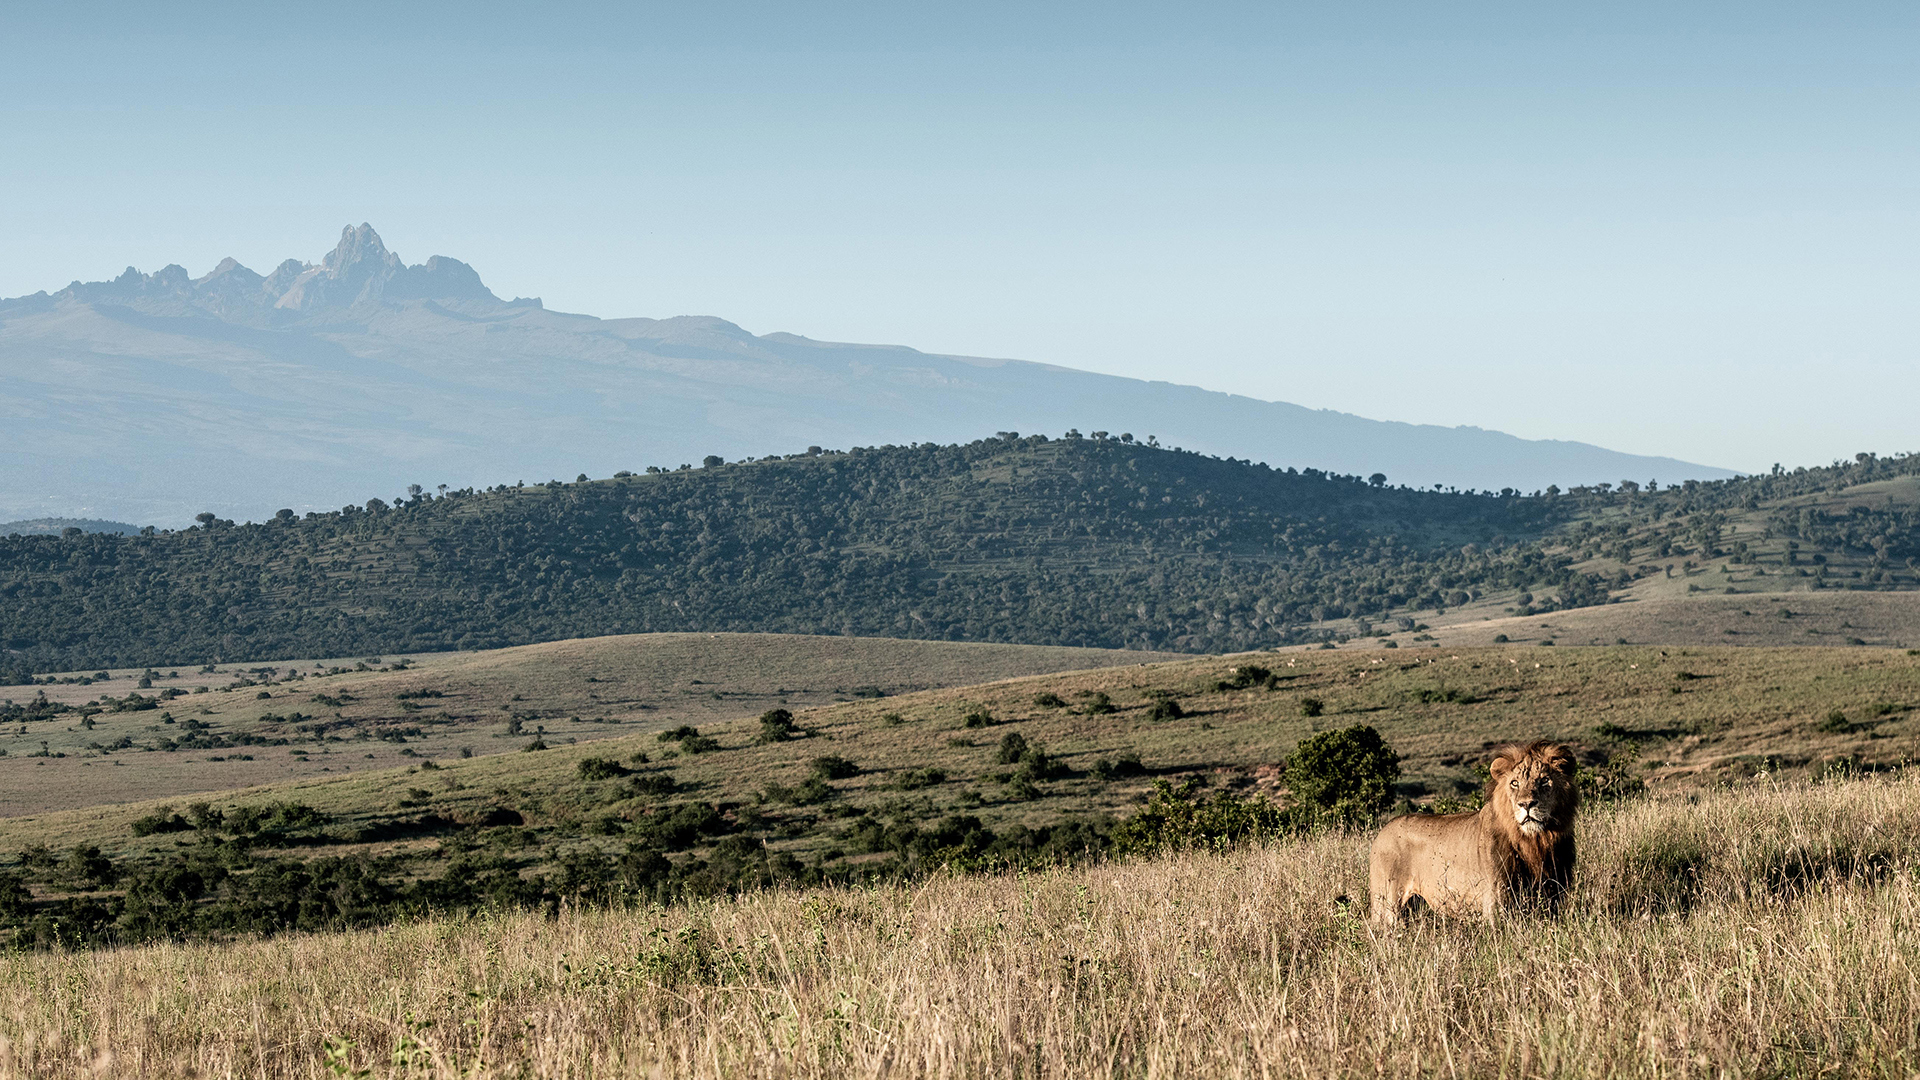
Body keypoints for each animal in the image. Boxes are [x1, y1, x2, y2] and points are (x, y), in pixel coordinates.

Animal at [1368, 741, 1579, 926]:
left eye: (1544, 780)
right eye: (1515, 783)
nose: (1526, 804)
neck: (1535, 842)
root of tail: (1381, 833)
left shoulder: (1553, 897)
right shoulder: (1496, 904)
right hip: (1387, 907)